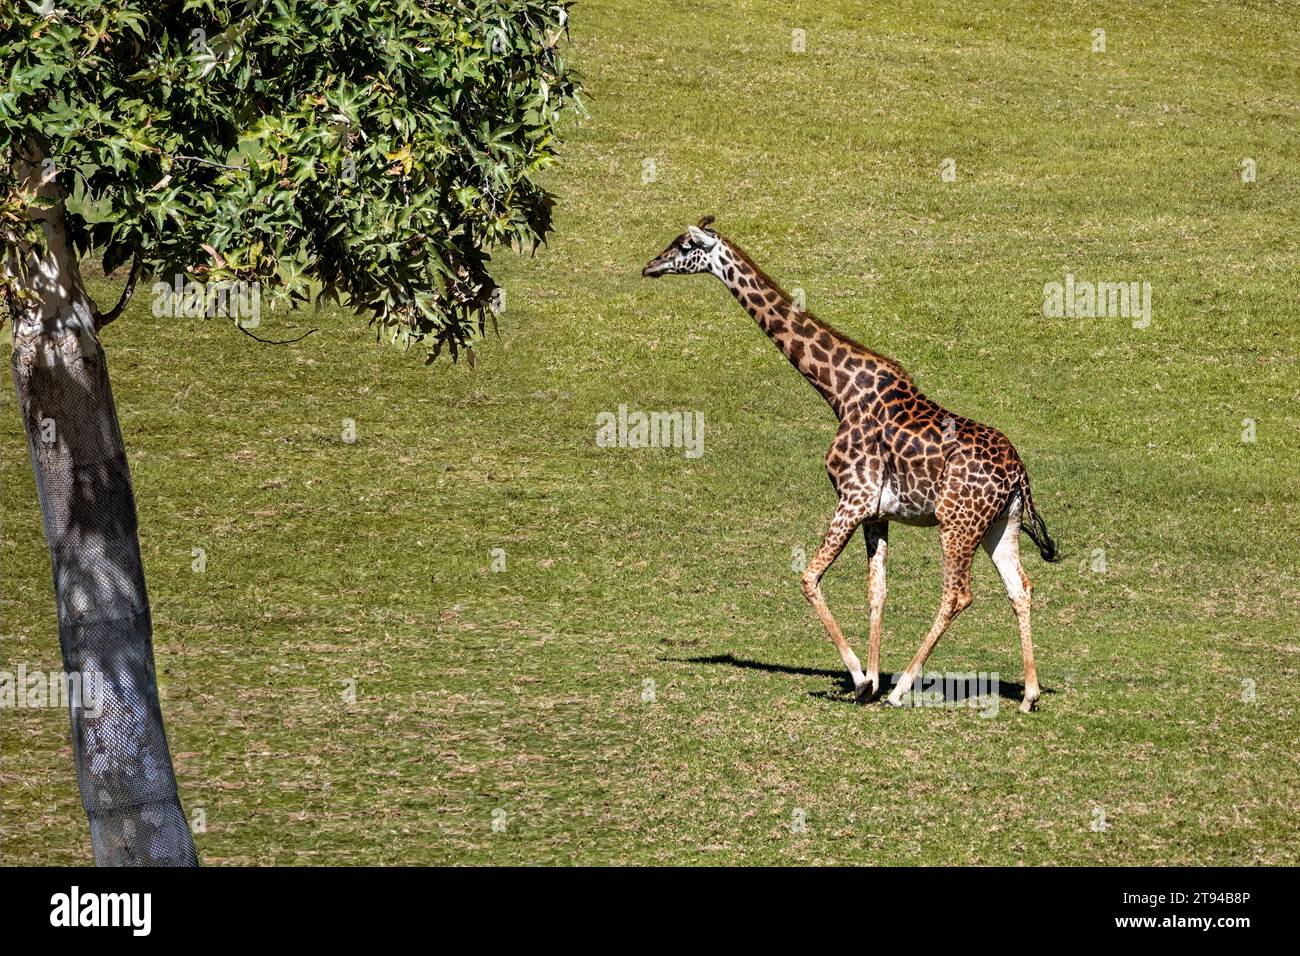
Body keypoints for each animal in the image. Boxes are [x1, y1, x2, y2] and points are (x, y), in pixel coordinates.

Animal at [643, 217, 1061, 712]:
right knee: (1021, 587)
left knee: (958, 594)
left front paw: (863, 680)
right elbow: (877, 590)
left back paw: (904, 690)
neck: (837, 390)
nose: (650, 266)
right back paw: (1029, 694)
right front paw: (873, 678)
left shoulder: (853, 497)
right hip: (1001, 524)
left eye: (685, 244)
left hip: (956, 523)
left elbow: (808, 577)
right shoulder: (877, 512)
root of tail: (1020, 475)